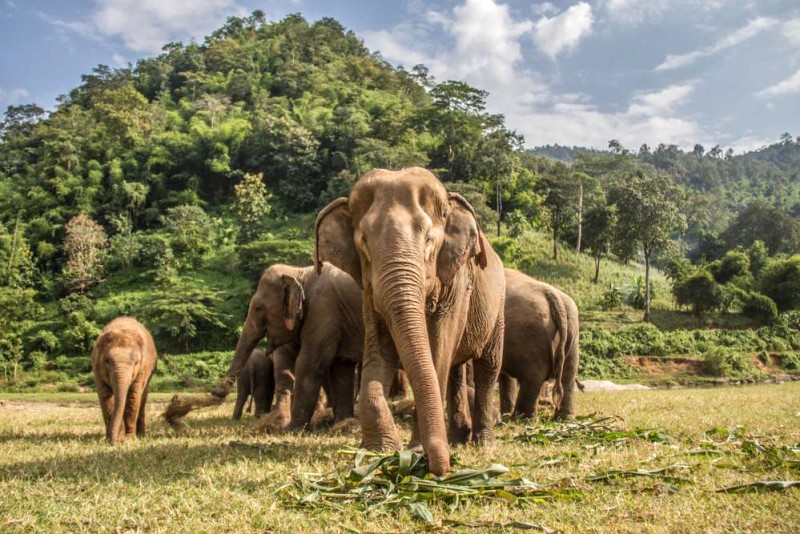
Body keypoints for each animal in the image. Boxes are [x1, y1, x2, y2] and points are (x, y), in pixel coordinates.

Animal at [212, 264, 362, 432]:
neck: (300, 272)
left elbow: (308, 364)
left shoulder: (323, 312)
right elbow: (339, 368)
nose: (216, 391)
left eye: (258, 308)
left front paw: (292, 429)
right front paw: (340, 424)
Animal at [316, 166, 504, 478]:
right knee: (456, 370)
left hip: (498, 307)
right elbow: (379, 352)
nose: (442, 469)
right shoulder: (369, 292)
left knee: (487, 367)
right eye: (364, 242)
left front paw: (414, 450)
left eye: (429, 240)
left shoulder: (456, 283)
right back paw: (457, 439)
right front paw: (379, 451)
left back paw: (483, 443)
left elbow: (438, 350)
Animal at [496, 270, 580, 420]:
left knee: (533, 377)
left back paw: (521, 419)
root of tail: (554, 296)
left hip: (530, 336)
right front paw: (504, 415)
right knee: (568, 375)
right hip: (573, 332)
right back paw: (564, 419)